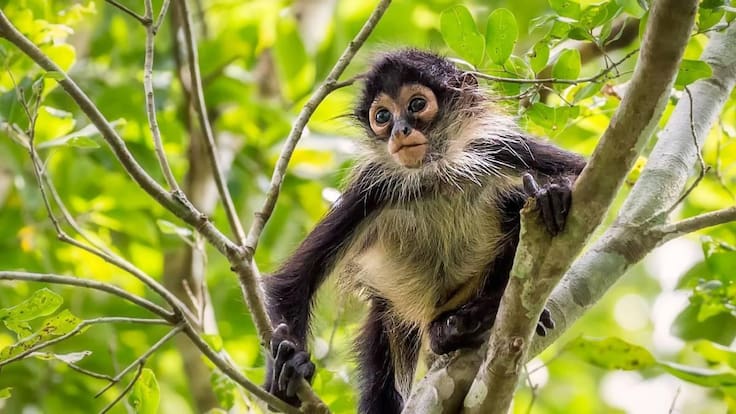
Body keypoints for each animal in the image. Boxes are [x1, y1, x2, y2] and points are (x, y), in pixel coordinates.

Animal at [262, 49, 586, 413]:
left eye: (417, 105)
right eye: (383, 116)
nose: (400, 130)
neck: (434, 176)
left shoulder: (498, 147)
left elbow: (584, 172)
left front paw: (553, 192)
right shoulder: (372, 190)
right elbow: (293, 280)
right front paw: (288, 371)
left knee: (514, 203)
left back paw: (473, 318)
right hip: (390, 312)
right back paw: (452, 332)